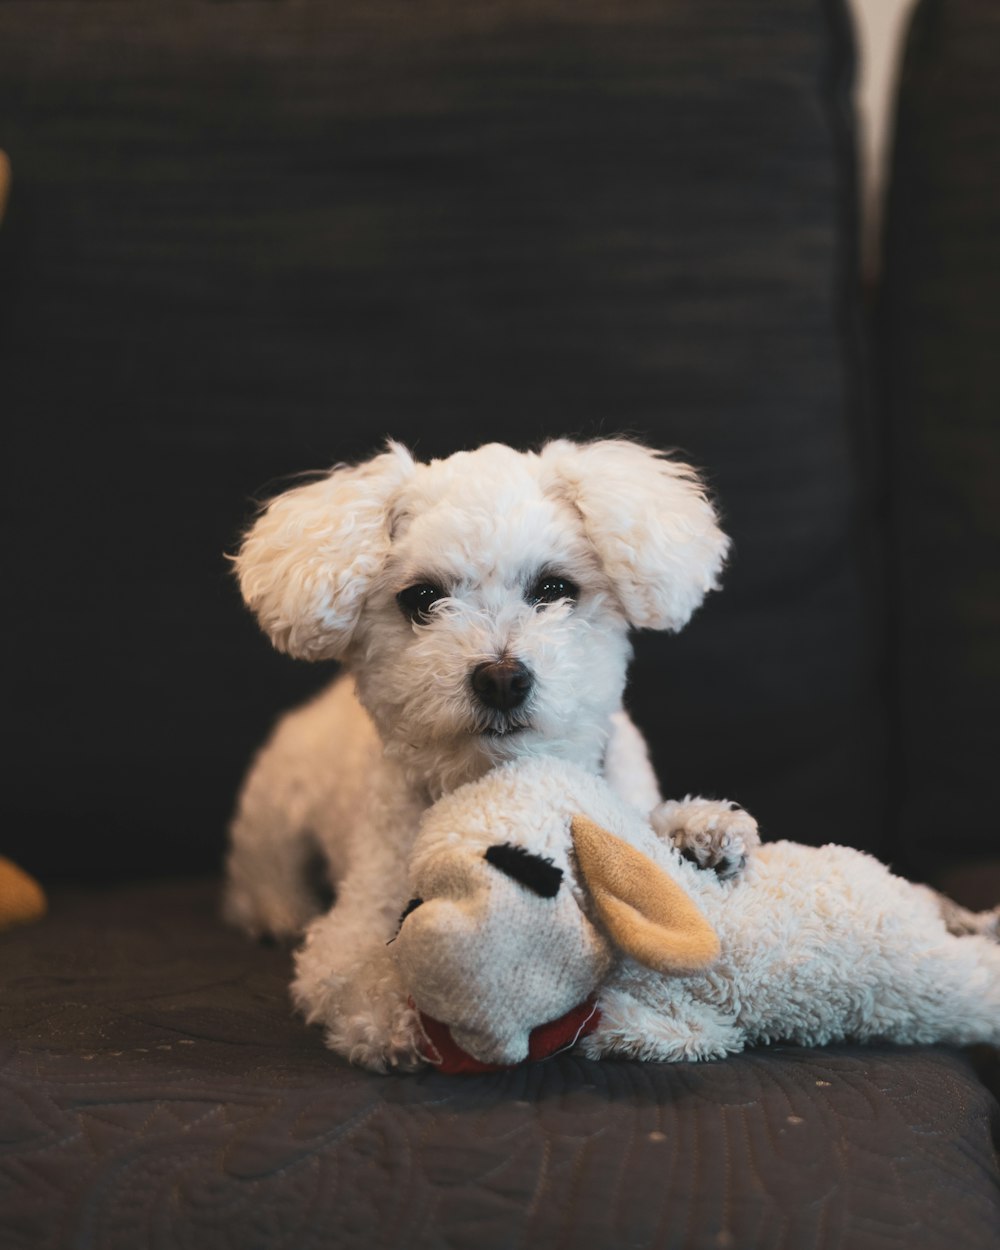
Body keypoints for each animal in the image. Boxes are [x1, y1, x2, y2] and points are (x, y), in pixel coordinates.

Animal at [225, 437, 760, 1065]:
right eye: (422, 598)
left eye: (555, 589)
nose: (502, 679)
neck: (492, 783)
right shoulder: (353, 923)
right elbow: (356, 968)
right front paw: (391, 1014)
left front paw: (695, 833)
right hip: (276, 812)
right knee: (263, 871)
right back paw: (275, 910)